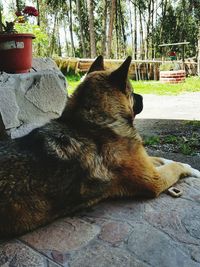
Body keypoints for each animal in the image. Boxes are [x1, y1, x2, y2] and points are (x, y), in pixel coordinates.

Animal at [0, 56, 200, 239]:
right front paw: (190, 168)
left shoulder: (142, 160)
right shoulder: (154, 180)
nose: (143, 97)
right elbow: (175, 166)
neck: (90, 123)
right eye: (132, 91)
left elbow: (161, 159)